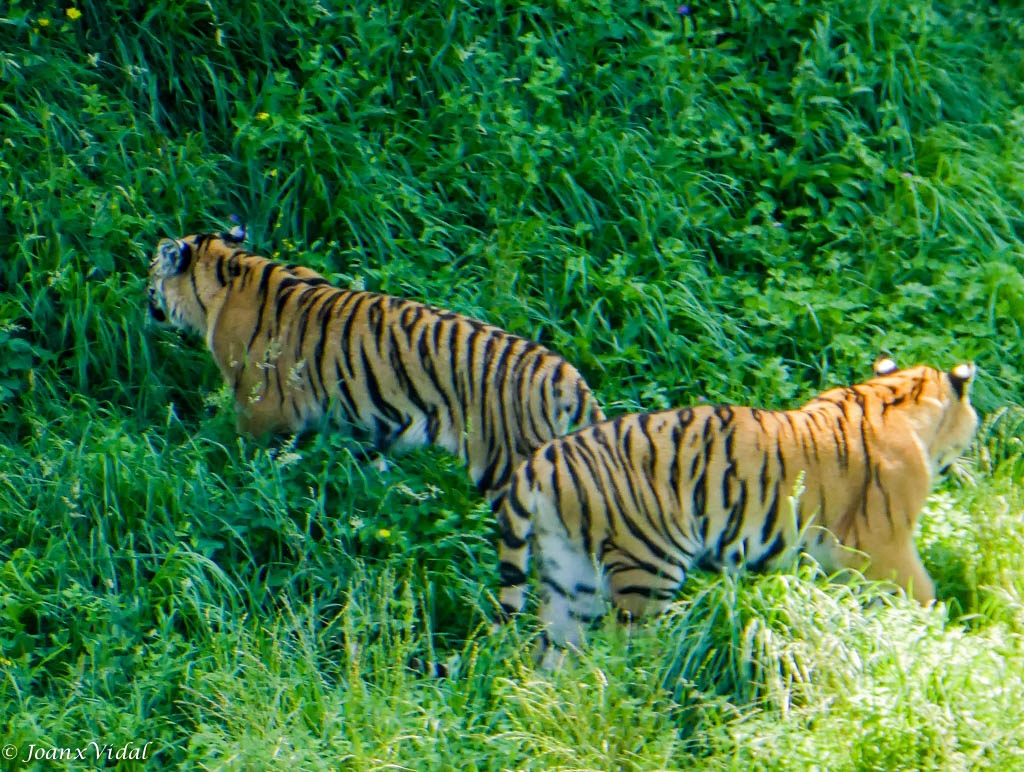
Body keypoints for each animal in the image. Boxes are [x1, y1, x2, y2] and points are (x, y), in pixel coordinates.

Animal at [148, 222, 602, 499]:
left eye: (152, 273)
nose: (145, 300)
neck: (230, 266)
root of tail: (567, 375)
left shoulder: (258, 409)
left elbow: (245, 457)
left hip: (511, 468)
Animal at [493, 358, 974, 663]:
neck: (895, 396)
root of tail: (542, 461)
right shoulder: (885, 546)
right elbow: (924, 595)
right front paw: (943, 640)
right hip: (647, 569)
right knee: (620, 649)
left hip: (571, 577)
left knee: (553, 655)